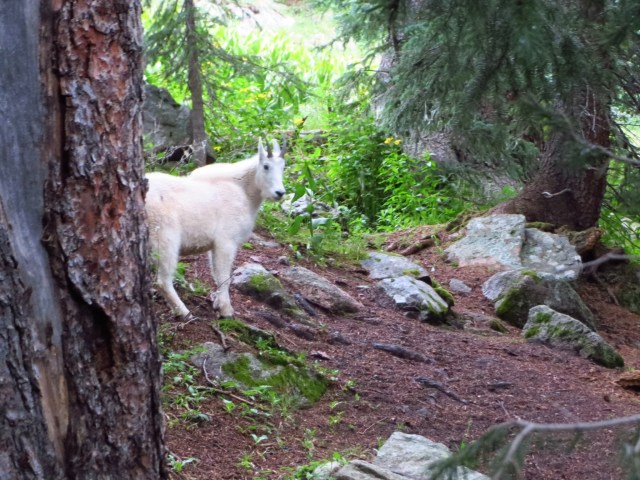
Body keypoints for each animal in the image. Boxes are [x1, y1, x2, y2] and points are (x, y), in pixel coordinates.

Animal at [146, 139, 286, 318]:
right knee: (162, 280)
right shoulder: (226, 241)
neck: (244, 191)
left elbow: (216, 273)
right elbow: (224, 276)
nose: (280, 193)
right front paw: (226, 310)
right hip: (164, 237)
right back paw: (184, 312)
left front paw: (218, 304)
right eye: (266, 166)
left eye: (283, 166)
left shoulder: (214, 245)